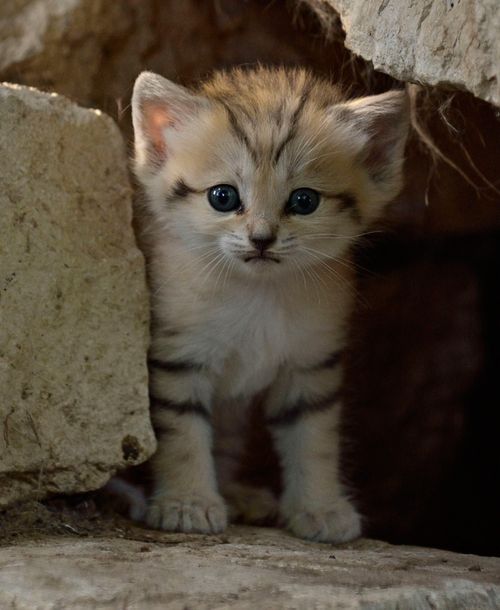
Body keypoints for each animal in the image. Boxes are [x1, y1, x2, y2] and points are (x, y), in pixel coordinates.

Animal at [131, 66, 408, 540]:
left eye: (304, 200)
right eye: (223, 197)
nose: (262, 238)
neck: (258, 293)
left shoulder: (311, 364)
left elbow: (313, 439)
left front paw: (319, 506)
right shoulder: (176, 356)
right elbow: (182, 434)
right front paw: (187, 502)